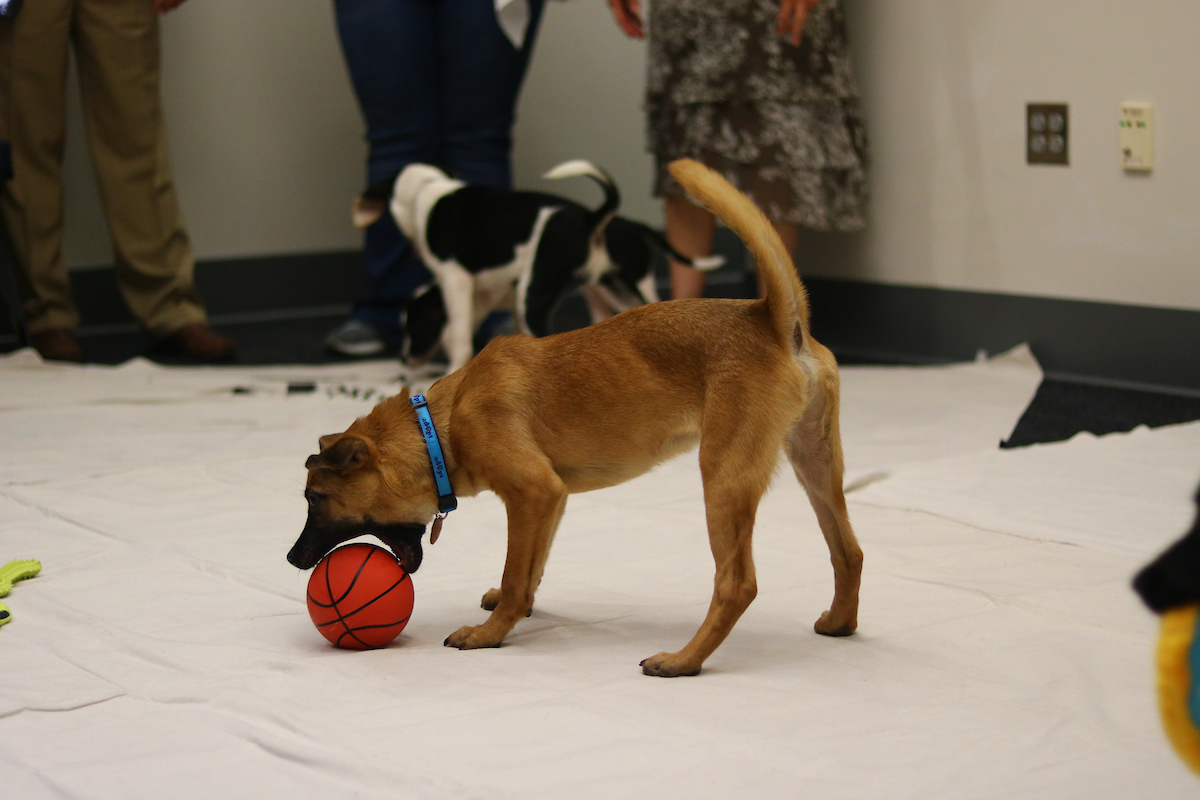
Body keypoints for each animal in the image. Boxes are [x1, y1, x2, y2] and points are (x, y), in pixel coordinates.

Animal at [350, 163, 715, 379]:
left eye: (413, 326)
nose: (403, 359)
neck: (427, 192)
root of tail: (590, 217)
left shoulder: (455, 279)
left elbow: (459, 334)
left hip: (537, 294)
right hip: (615, 288)